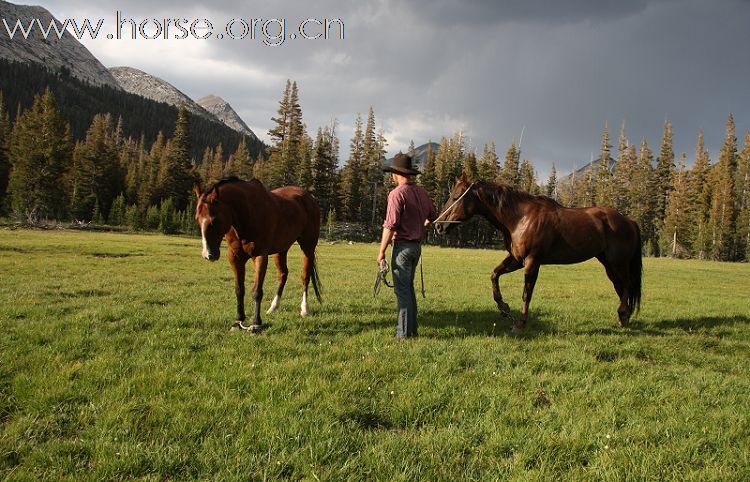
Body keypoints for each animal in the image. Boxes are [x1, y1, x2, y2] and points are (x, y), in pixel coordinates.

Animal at [192, 177, 322, 332]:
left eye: (214, 220)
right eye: (197, 219)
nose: (208, 255)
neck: (246, 215)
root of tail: (310, 198)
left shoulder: (260, 257)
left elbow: (257, 292)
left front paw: (255, 323)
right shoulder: (235, 258)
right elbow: (239, 290)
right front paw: (238, 321)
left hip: (308, 246)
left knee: (305, 276)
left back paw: (304, 309)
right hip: (281, 249)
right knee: (283, 274)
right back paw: (273, 307)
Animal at [438, 175, 644, 330]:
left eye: (456, 197)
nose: (439, 226)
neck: (521, 218)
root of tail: (629, 221)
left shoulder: (532, 261)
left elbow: (526, 294)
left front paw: (520, 323)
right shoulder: (516, 259)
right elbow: (494, 275)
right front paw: (504, 307)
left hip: (618, 263)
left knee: (627, 285)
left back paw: (623, 314)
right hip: (609, 265)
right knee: (621, 287)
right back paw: (623, 317)